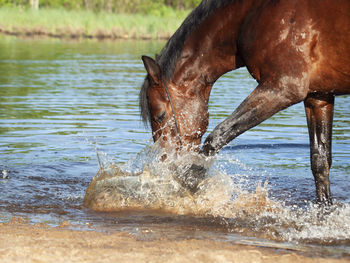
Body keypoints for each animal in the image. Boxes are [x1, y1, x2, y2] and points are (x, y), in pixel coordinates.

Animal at [139, 0, 350, 205]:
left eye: (160, 115)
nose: (165, 165)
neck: (254, 12)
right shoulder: (318, 97)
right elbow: (320, 160)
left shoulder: (282, 88)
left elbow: (218, 135)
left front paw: (189, 181)